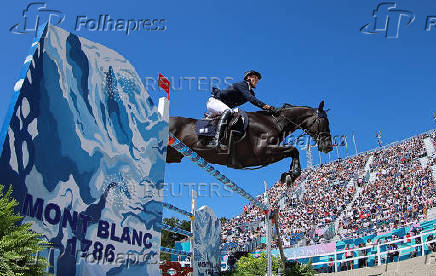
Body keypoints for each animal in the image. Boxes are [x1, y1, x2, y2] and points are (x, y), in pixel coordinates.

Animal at [165, 100, 332, 187]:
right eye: (325, 122)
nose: (328, 146)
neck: (275, 122)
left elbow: (292, 151)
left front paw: (289, 174)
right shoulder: (263, 153)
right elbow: (293, 150)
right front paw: (293, 173)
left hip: (172, 156)